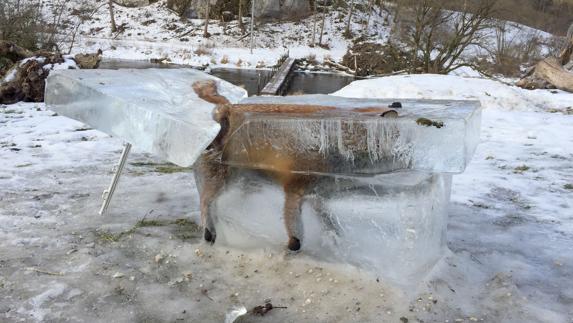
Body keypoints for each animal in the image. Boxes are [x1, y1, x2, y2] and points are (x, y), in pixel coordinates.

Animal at [192, 79, 398, 252]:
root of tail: (228, 108)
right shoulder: (295, 188)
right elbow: (296, 232)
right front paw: (292, 247)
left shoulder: (318, 194)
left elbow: (329, 220)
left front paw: (335, 237)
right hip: (223, 180)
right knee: (206, 202)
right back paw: (210, 232)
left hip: (245, 183)